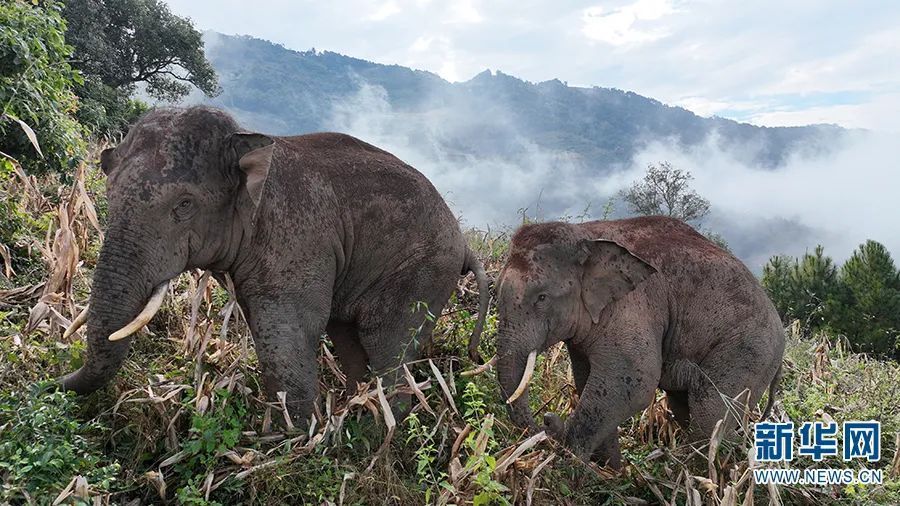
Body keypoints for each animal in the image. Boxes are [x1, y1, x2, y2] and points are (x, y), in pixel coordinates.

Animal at [59, 106, 488, 422]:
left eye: (184, 205)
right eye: (109, 192)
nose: (54, 382)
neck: (247, 141)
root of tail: (465, 244)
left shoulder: (295, 238)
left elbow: (288, 333)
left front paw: (292, 444)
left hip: (422, 273)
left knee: (385, 346)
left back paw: (376, 434)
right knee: (350, 340)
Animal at [496, 215, 784, 468]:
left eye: (542, 297)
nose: (546, 419)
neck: (586, 235)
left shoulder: (633, 306)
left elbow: (634, 382)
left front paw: (573, 464)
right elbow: (588, 379)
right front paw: (610, 470)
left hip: (749, 349)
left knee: (709, 414)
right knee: (686, 408)